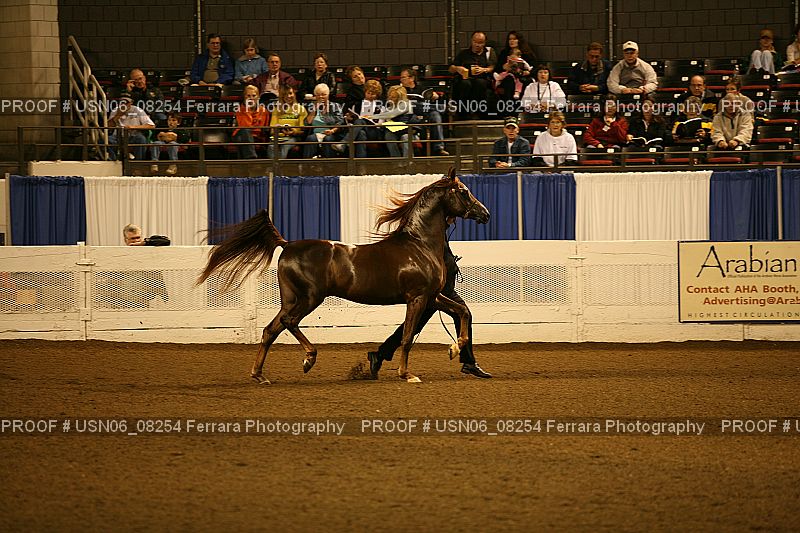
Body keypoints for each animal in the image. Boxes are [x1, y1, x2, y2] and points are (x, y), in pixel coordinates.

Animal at [197, 170, 490, 383]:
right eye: (464, 192)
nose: (485, 214)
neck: (419, 245)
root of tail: (287, 245)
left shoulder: (432, 297)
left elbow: (462, 312)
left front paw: (455, 350)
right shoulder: (417, 298)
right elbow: (407, 337)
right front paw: (407, 374)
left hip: (291, 299)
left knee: (271, 329)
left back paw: (259, 376)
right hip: (309, 298)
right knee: (289, 323)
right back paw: (308, 359)